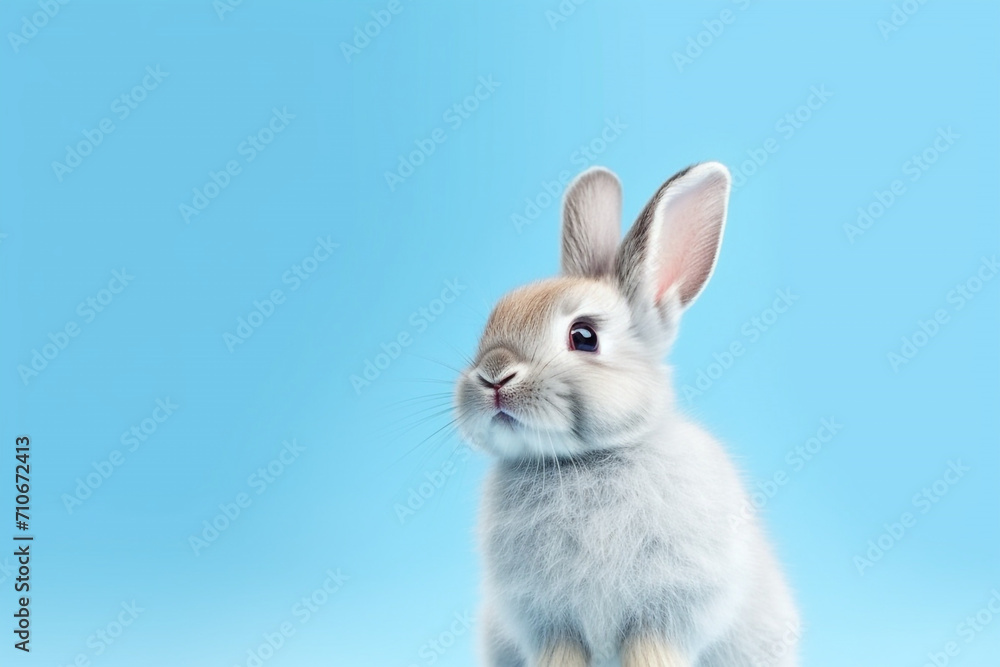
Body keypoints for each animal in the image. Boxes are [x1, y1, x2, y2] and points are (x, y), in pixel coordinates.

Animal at [453, 162, 800, 667]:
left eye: (584, 336)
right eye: (490, 323)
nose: (493, 375)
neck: (582, 460)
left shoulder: (665, 613)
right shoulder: (551, 626)